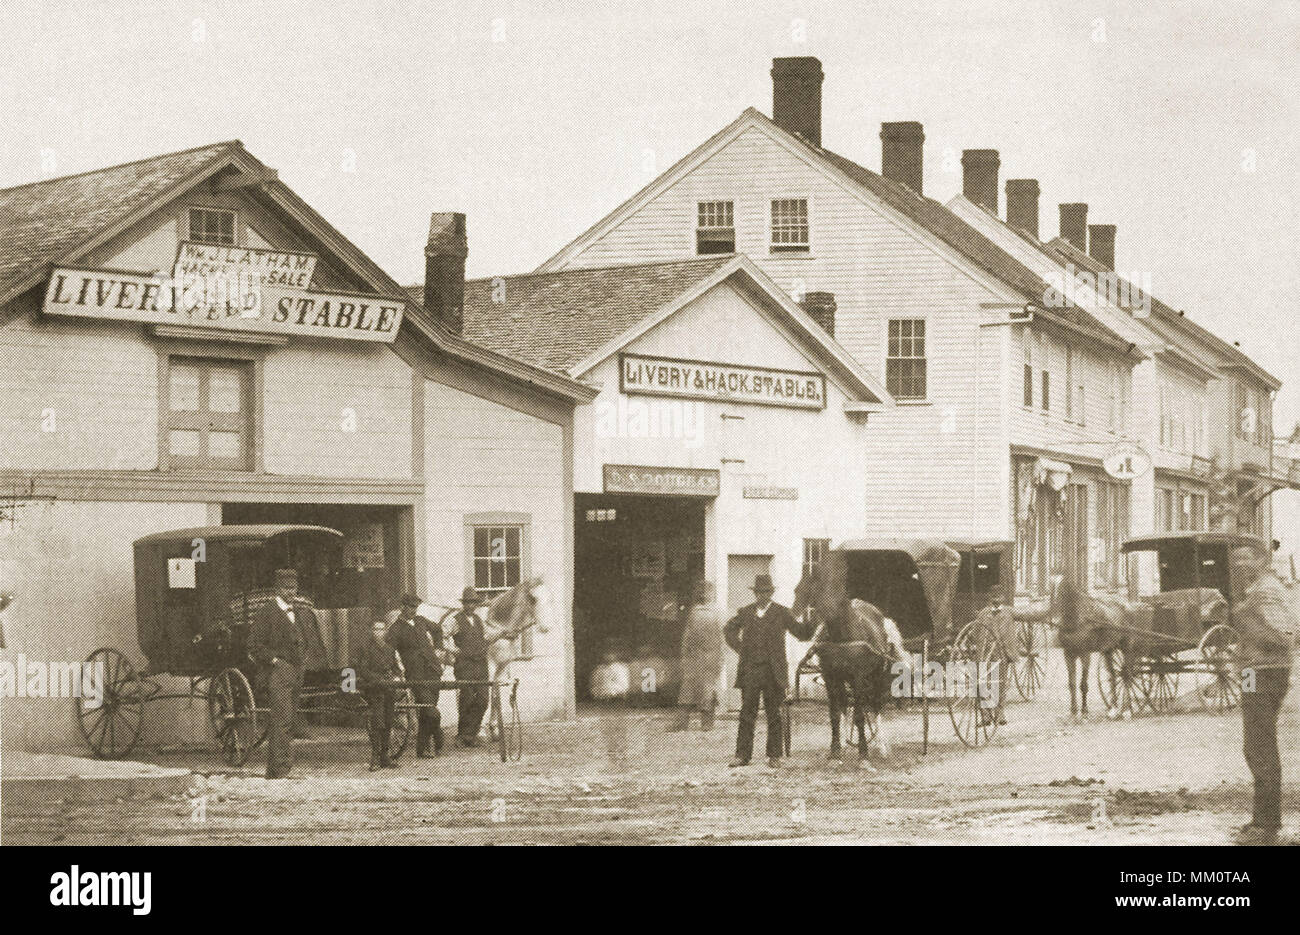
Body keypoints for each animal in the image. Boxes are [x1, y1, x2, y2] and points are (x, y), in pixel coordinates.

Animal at [785, 559, 909, 769]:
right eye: (797, 589)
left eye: (816, 589)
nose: (794, 618)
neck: (842, 633)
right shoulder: (830, 676)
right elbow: (835, 715)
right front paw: (835, 753)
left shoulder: (858, 677)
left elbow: (859, 716)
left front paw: (863, 755)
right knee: (846, 705)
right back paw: (844, 743)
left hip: (877, 677)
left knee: (875, 706)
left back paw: (881, 746)